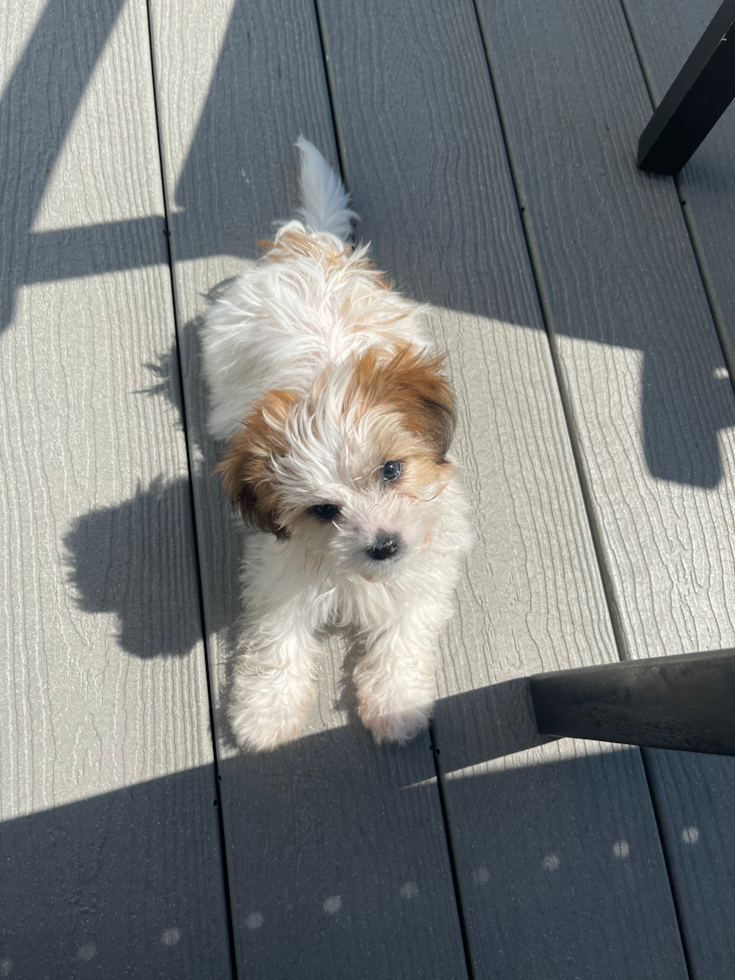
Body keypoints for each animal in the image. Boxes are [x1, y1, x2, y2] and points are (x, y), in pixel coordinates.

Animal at [203, 138, 472, 752]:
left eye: (392, 471)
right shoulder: (279, 575)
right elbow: (275, 643)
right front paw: (265, 713)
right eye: (324, 511)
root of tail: (307, 247)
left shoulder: (425, 574)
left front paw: (396, 703)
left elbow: (404, 636)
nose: (384, 546)